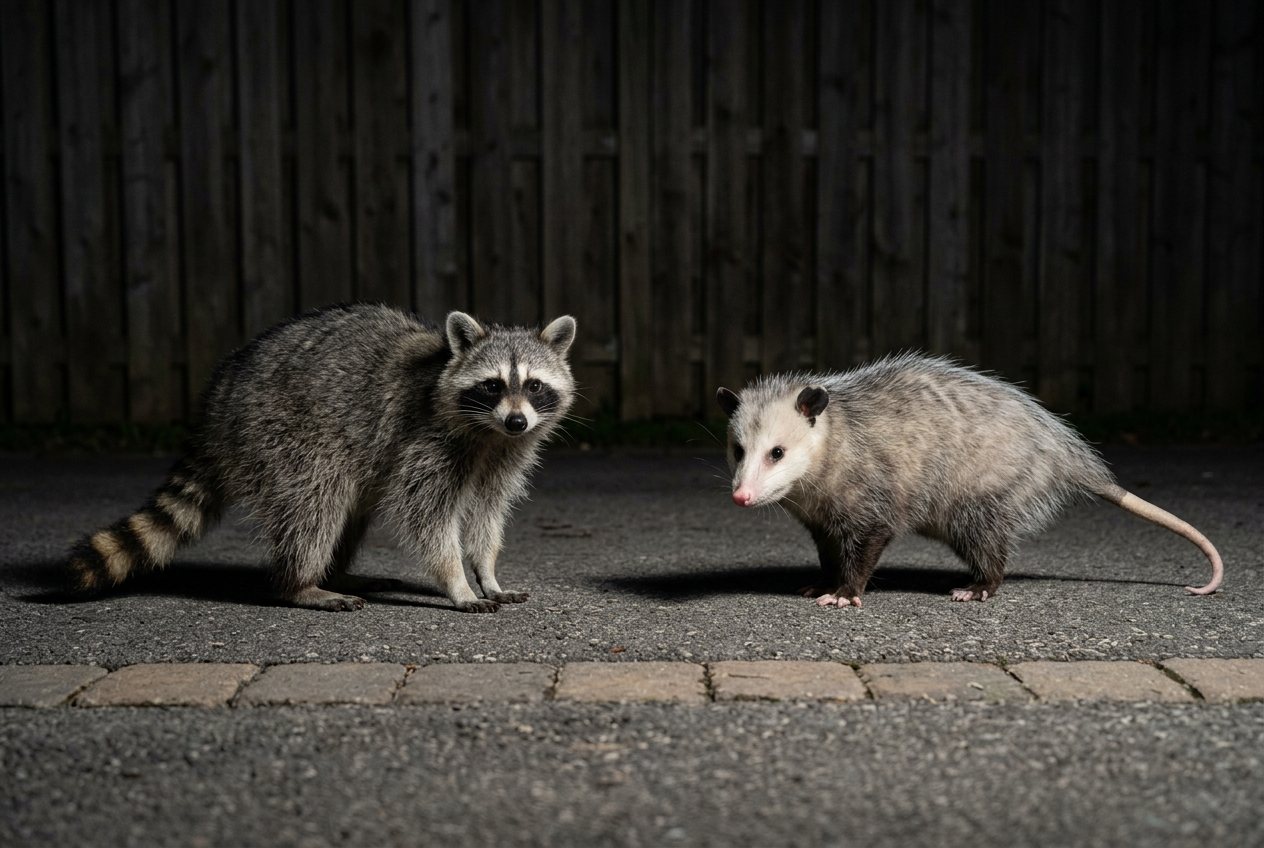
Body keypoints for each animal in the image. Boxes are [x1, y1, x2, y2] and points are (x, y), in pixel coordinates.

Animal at [68, 304, 577, 612]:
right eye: (492, 385)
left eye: (534, 385)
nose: (517, 421)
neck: (489, 432)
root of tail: (219, 398)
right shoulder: (426, 438)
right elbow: (427, 518)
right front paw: (457, 583)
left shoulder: (505, 454)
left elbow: (488, 514)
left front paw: (487, 572)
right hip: (281, 433)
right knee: (315, 504)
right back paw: (301, 584)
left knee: (346, 510)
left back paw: (337, 573)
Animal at [716, 353, 1223, 606]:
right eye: (739, 449)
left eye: (777, 452)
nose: (741, 497)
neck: (834, 442)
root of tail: (1063, 451)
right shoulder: (822, 519)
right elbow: (827, 551)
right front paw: (821, 582)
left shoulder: (874, 498)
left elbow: (869, 544)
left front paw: (845, 593)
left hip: (985, 497)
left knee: (988, 544)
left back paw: (979, 586)